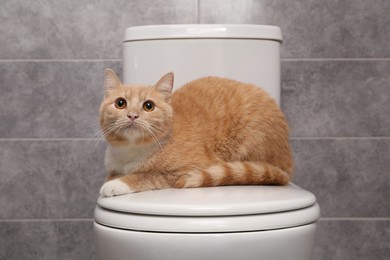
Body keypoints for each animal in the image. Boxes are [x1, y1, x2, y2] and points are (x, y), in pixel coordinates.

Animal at [99, 69, 290, 197]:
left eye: (148, 106)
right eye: (120, 103)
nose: (132, 115)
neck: (132, 151)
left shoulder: (190, 168)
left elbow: (148, 175)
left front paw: (118, 184)